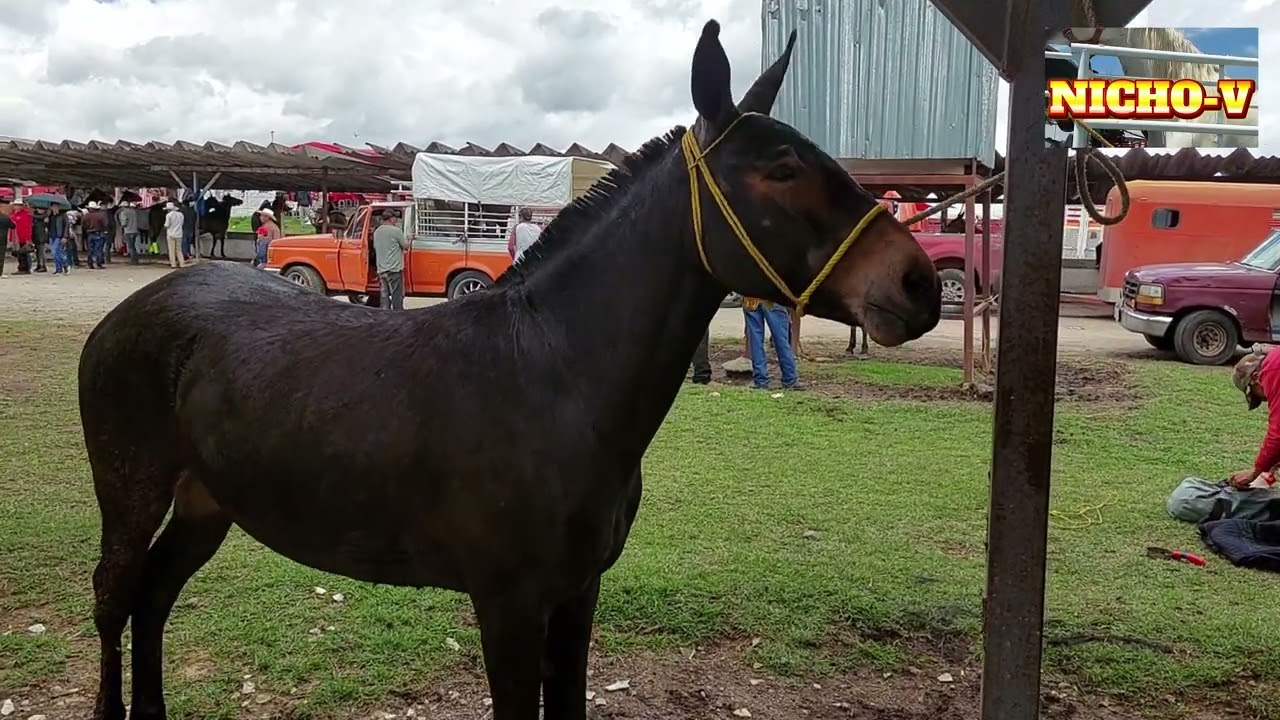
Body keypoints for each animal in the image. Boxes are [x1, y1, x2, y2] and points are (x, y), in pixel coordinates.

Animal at [78, 20, 941, 720]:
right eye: (782, 170)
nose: (920, 285)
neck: (555, 379)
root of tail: (133, 309)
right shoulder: (509, 607)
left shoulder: (577, 595)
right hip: (131, 494)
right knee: (115, 600)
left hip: (206, 502)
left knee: (154, 599)